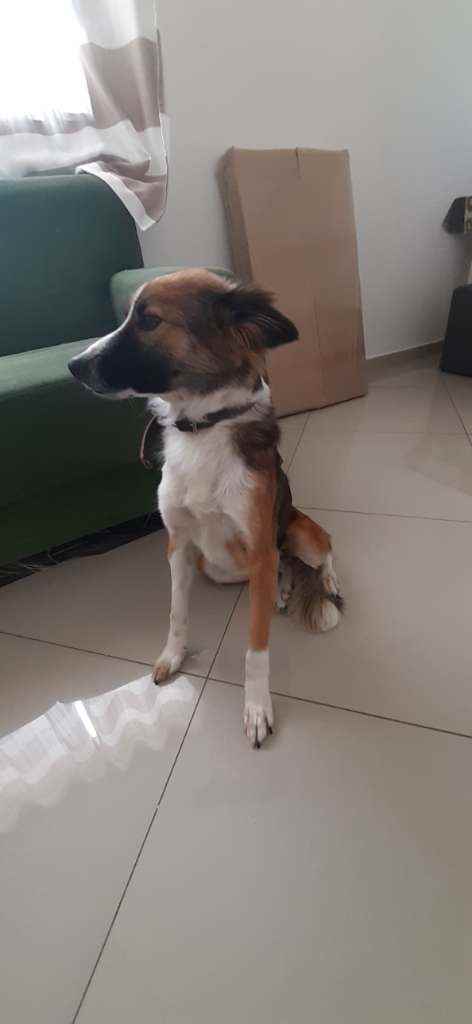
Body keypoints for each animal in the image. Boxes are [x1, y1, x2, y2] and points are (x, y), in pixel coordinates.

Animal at [69, 269, 343, 747]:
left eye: (150, 320)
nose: (72, 365)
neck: (201, 426)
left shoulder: (259, 547)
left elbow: (255, 649)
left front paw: (256, 709)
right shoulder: (178, 544)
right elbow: (177, 612)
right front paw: (172, 656)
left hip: (297, 532)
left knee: (322, 552)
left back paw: (322, 583)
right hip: (218, 566)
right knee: (283, 567)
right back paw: (284, 587)